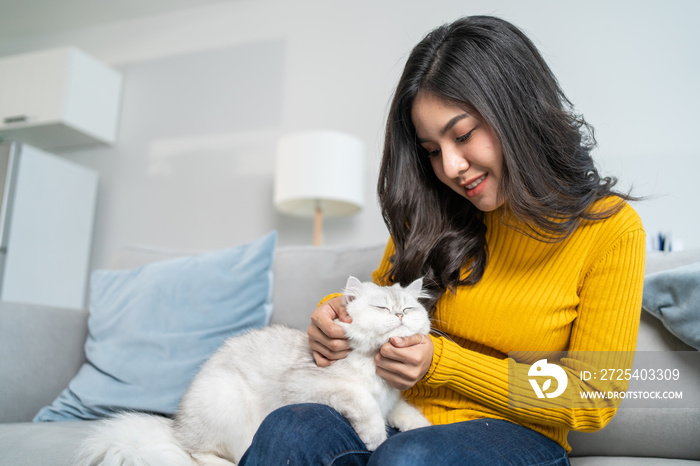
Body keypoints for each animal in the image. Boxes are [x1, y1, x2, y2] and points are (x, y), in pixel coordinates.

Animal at [80, 276, 432, 466]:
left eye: (408, 307)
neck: (373, 365)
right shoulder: (312, 382)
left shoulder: (392, 400)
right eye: (382, 308)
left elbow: (408, 414)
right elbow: (363, 402)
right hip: (223, 402)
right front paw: (375, 439)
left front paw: (421, 428)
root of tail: (174, 427)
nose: (400, 315)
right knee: (196, 454)